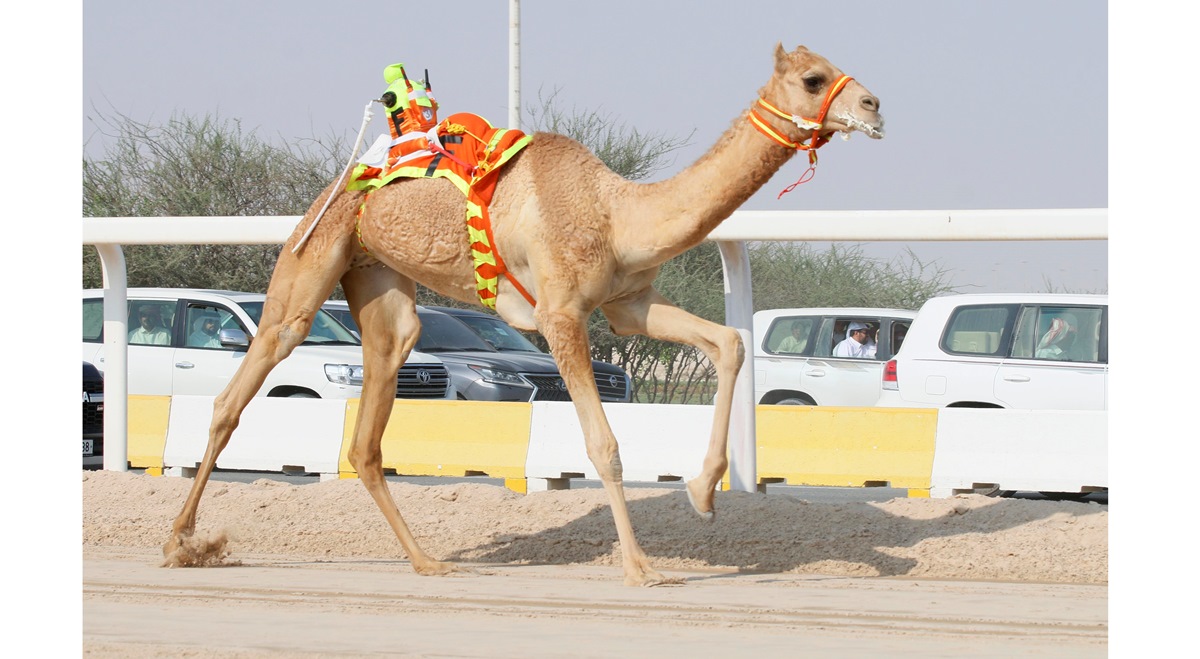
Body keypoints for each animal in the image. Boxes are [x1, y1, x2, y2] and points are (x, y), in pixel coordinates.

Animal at [164, 43, 888, 583]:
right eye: (813, 78)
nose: (875, 106)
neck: (617, 213)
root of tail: (344, 182)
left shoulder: (627, 304)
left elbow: (731, 342)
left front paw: (704, 491)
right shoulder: (561, 312)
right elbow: (604, 443)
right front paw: (641, 567)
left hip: (379, 282)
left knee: (370, 427)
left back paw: (428, 561)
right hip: (311, 256)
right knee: (239, 388)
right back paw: (182, 543)